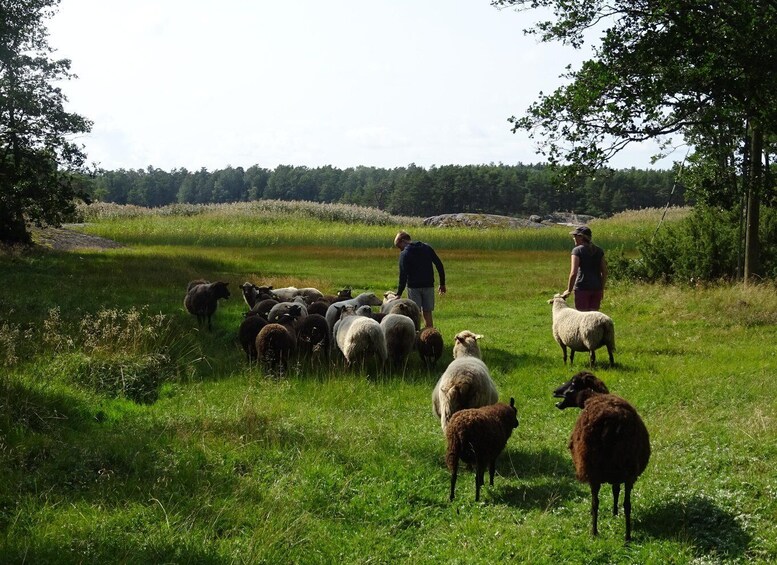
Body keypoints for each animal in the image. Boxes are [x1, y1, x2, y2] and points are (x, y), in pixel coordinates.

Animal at [553, 371, 651, 541]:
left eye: (572, 383)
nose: (555, 391)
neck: (591, 396)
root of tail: (612, 424)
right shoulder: (617, 474)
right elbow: (616, 490)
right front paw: (614, 513)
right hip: (628, 468)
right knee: (627, 503)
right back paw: (627, 536)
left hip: (592, 468)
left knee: (595, 502)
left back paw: (594, 532)